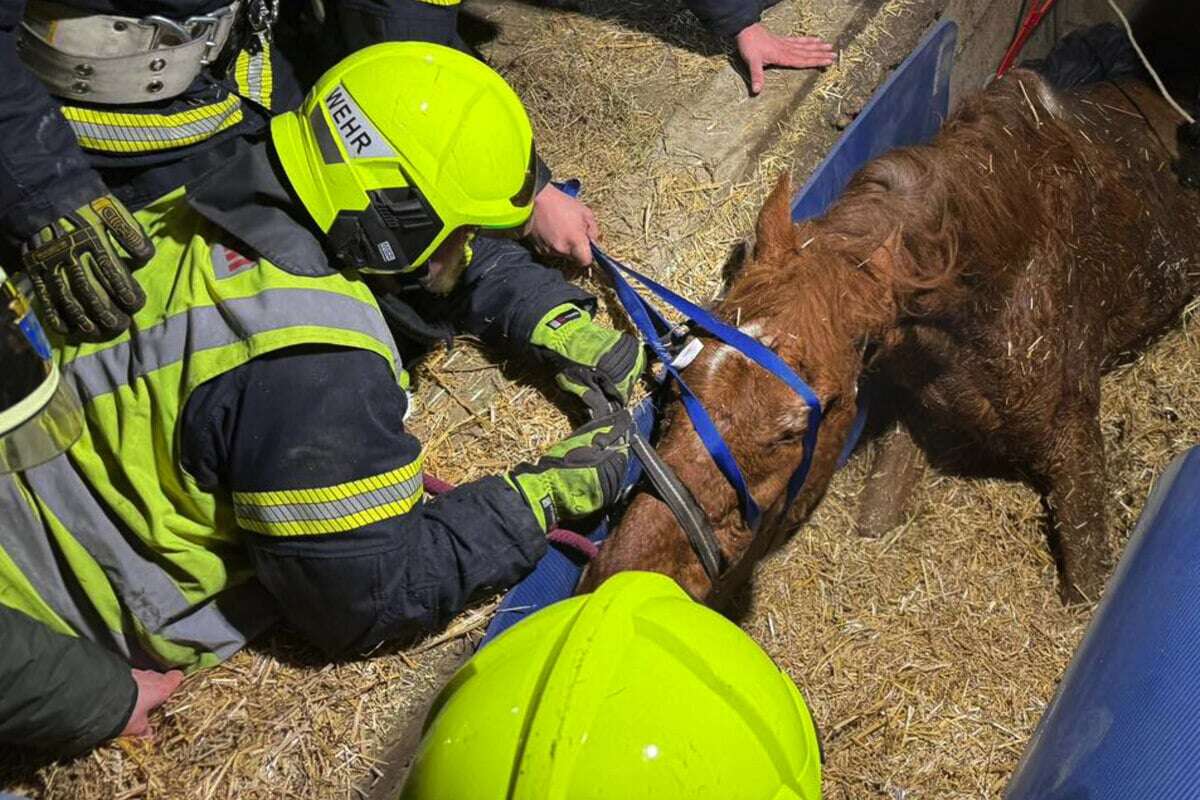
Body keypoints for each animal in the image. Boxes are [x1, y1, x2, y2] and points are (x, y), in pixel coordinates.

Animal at [583, 71, 1200, 604]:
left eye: (794, 430)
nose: (623, 573)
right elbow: (877, 517)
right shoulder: (918, 416)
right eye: (675, 385)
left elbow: (1085, 589)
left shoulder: (1073, 449)